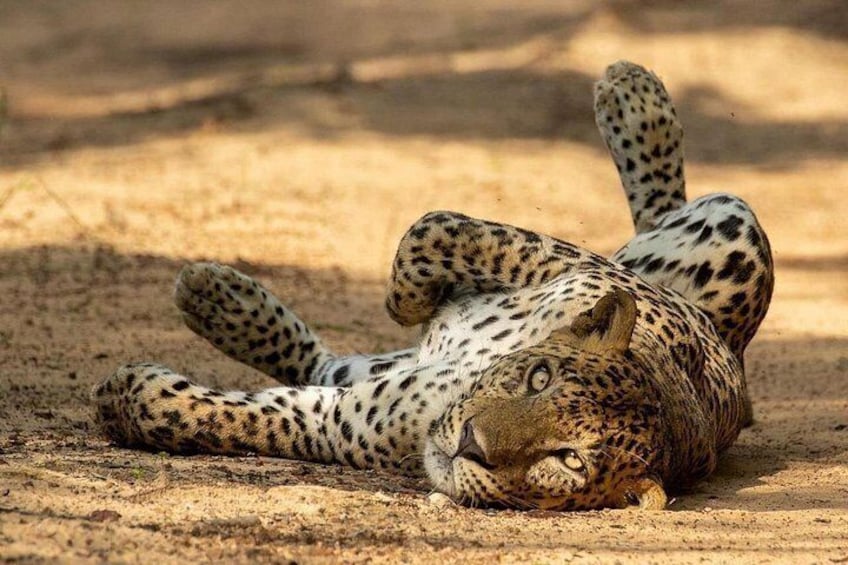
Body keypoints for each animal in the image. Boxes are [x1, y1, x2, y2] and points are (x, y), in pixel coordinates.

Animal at [91, 61, 774, 511]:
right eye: (539, 378)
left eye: (568, 459)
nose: (472, 442)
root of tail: (736, 356)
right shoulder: (573, 273)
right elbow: (439, 230)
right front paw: (406, 298)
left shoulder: (338, 423)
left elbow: (224, 416)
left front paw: (123, 397)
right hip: (732, 226)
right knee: (659, 210)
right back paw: (633, 94)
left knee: (329, 365)